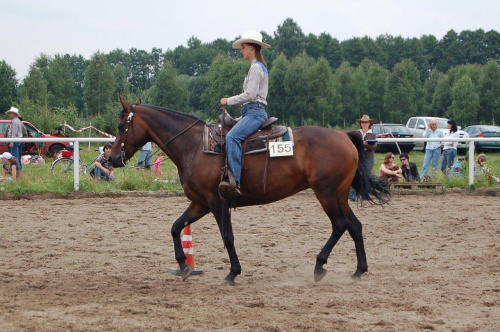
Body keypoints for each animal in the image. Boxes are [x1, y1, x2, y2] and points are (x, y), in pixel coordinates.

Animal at [110, 98, 390, 286]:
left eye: (122, 126)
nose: (111, 158)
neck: (195, 146)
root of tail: (344, 137)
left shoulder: (217, 201)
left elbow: (227, 237)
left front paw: (232, 273)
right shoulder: (200, 203)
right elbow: (176, 227)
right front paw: (183, 266)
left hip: (327, 194)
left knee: (340, 225)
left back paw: (320, 266)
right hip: (340, 195)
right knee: (355, 226)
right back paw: (359, 270)